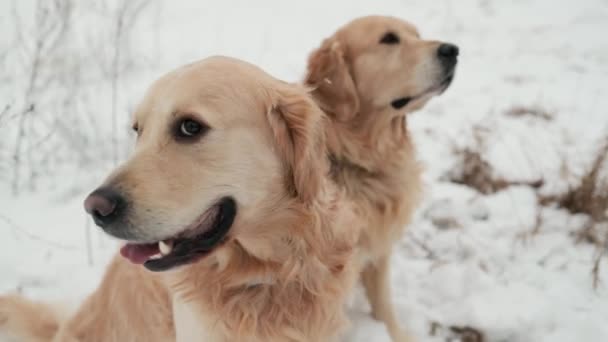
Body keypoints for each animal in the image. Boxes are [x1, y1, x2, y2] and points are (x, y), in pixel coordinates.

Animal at [306, 15, 458, 340]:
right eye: (389, 39)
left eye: (418, 35)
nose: (452, 50)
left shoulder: (378, 249)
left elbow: (384, 303)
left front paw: (395, 333)